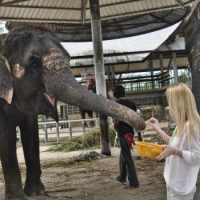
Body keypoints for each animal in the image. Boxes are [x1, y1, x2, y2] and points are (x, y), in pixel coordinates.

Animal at [0, 22, 145, 199]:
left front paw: (36, 192)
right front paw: (18, 198)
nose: (141, 125)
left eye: (69, 58)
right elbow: (6, 137)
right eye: (34, 63)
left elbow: (31, 134)